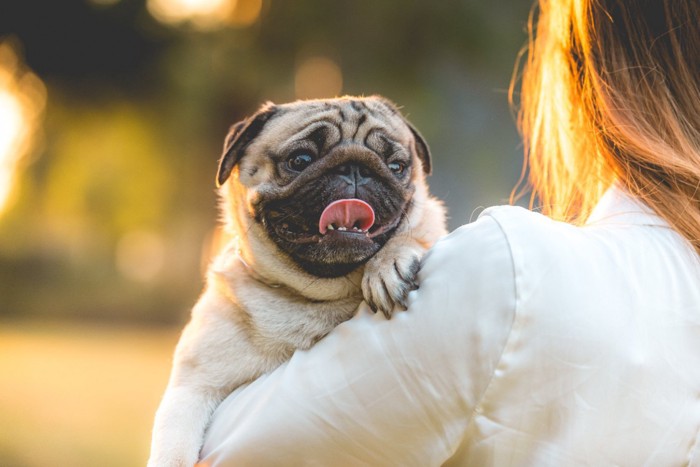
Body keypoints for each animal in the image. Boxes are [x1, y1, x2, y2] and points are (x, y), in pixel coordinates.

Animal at [148, 96, 448, 467]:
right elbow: (173, 450)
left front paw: (388, 262)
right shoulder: (191, 388)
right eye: (300, 160)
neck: (313, 293)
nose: (355, 168)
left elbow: (419, 230)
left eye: (396, 166)